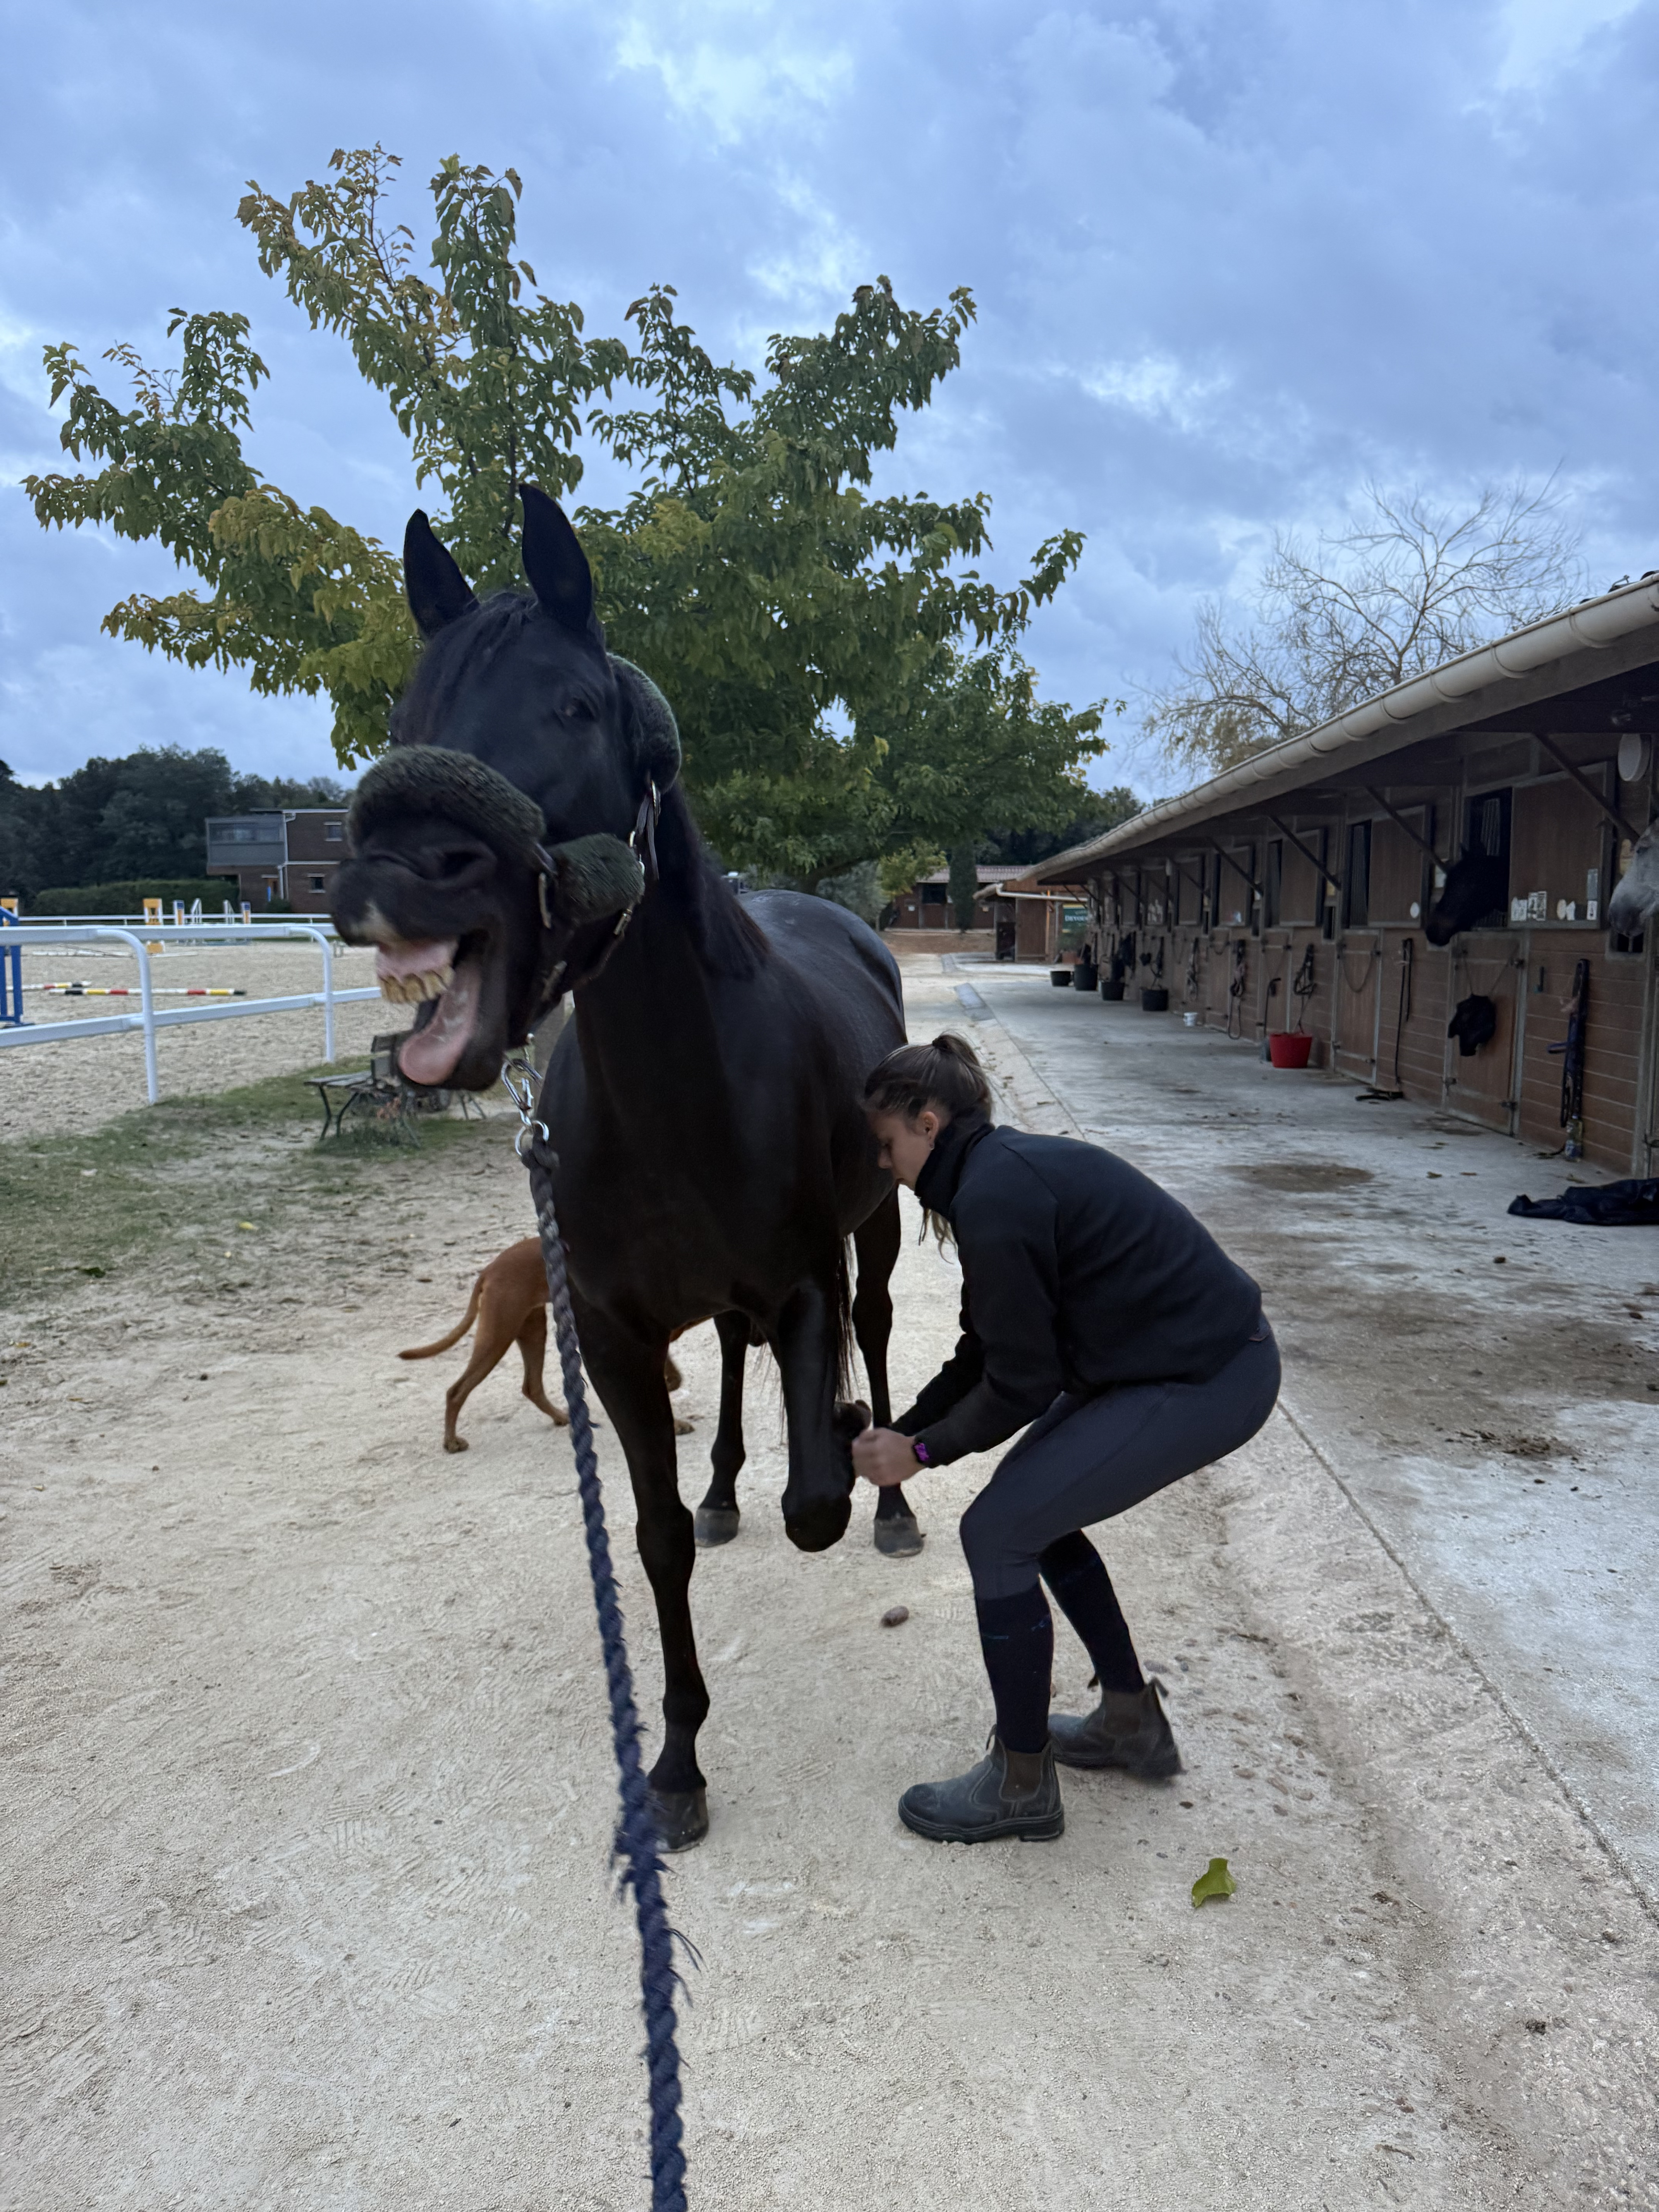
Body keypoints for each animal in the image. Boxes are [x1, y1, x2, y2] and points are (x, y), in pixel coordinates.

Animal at [330, 484, 919, 1848]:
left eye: (572, 706)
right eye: (404, 718)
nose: (394, 874)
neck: (675, 1095)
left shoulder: (801, 1280)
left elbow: (816, 1496)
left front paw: (842, 1448)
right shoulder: (608, 1330)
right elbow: (652, 1540)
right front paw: (679, 1758)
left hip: (874, 1230)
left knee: (869, 1330)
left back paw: (890, 1495)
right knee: (736, 1369)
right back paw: (726, 1484)